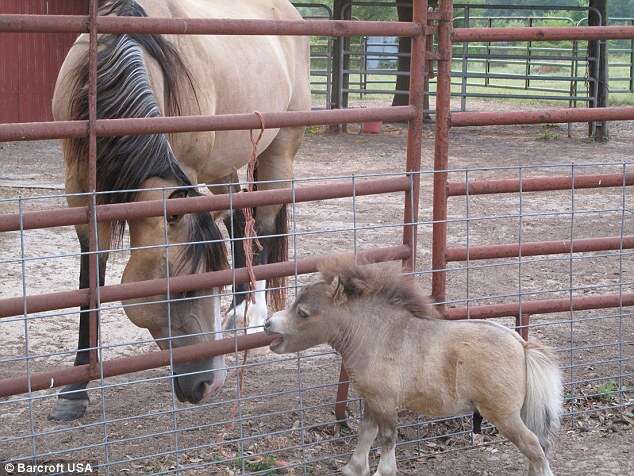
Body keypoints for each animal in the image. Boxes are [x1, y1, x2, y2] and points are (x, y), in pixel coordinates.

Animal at [264, 258, 560, 474]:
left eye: (303, 313)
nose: (268, 323)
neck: (376, 336)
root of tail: (521, 345)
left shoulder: (385, 403)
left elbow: (387, 439)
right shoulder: (372, 400)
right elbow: (367, 433)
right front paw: (353, 468)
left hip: (504, 415)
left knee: (534, 447)